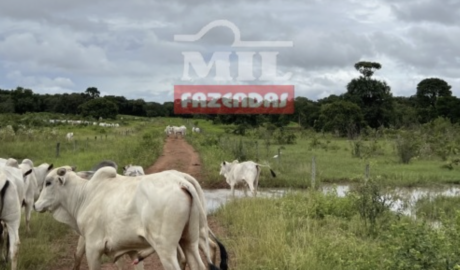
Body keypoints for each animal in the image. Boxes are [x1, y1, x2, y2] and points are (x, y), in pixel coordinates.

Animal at [33, 167, 219, 270]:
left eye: (48, 182)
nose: (35, 205)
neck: (84, 195)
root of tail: (181, 182)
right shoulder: (131, 250)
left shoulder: (93, 247)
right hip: (189, 241)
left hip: (165, 249)